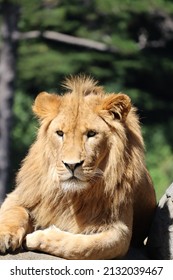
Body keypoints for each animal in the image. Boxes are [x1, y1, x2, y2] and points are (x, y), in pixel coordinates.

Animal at [0, 75, 156, 260]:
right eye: (60, 133)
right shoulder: (20, 196)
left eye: (91, 134)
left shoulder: (120, 230)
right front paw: (4, 236)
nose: (71, 165)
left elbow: (82, 246)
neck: (71, 196)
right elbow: (13, 214)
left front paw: (37, 237)